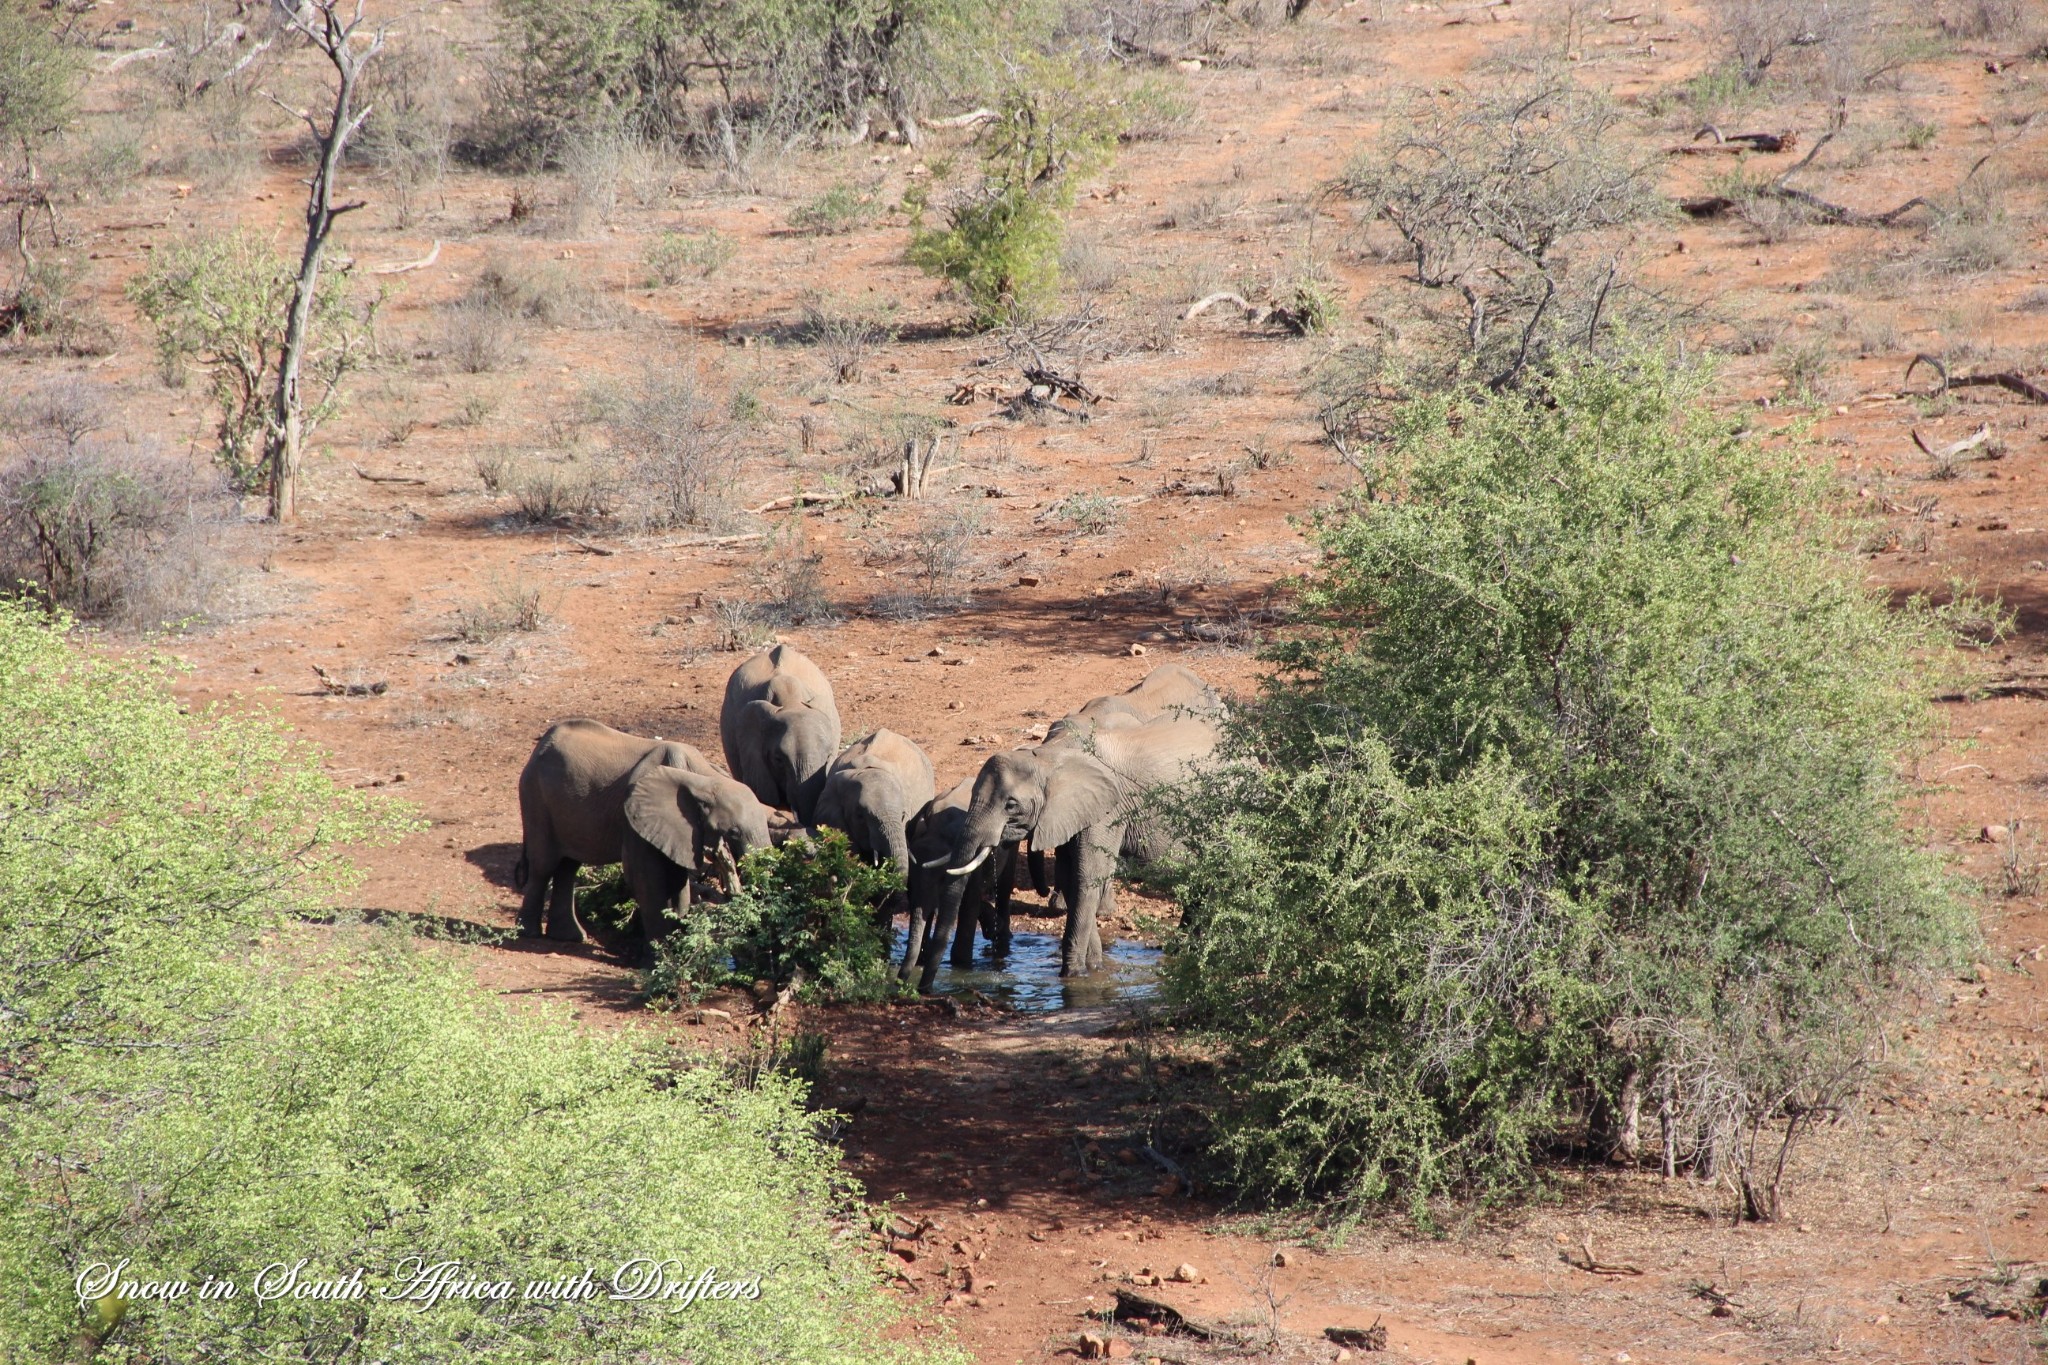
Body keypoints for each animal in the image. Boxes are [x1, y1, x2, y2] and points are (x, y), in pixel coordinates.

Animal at [512, 724, 770, 949]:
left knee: (568, 866)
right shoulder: (633, 816)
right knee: (544, 865)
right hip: (535, 797)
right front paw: (658, 956)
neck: (703, 779)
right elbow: (645, 879)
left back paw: (569, 937)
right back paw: (528, 933)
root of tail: (540, 745)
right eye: (733, 832)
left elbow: (678, 880)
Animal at [937, 712, 1220, 978]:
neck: (1048, 757)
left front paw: (1073, 975)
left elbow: (1088, 877)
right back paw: (1180, 950)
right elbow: (1070, 877)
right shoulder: (1070, 812)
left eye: (1011, 805)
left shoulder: (1108, 809)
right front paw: (1093, 968)